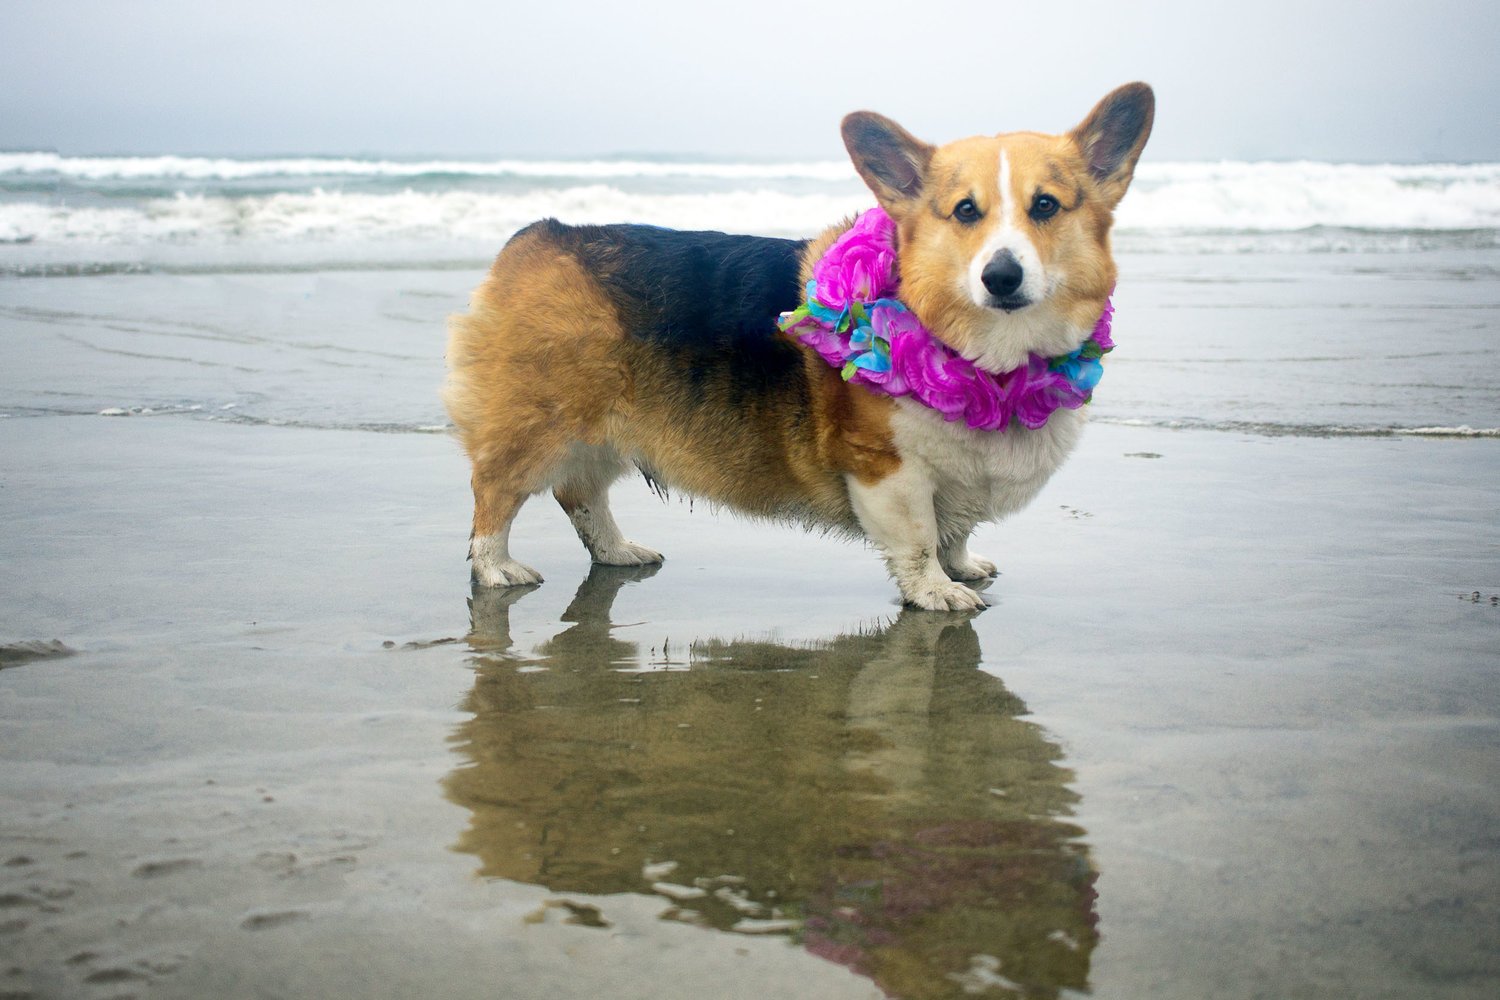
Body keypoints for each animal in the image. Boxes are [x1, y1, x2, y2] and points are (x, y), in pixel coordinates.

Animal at [438, 83, 1152, 611]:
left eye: (1046, 206)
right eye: (966, 212)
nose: (1001, 277)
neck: (987, 359)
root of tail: (536, 236)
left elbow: (955, 528)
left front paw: (963, 566)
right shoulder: (886, 470)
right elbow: (920, 537)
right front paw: (935, 592)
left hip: (608, 431)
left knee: (582, 495)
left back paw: (618, 551)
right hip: (536, 427)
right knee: (493, 494)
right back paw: (497, 569)